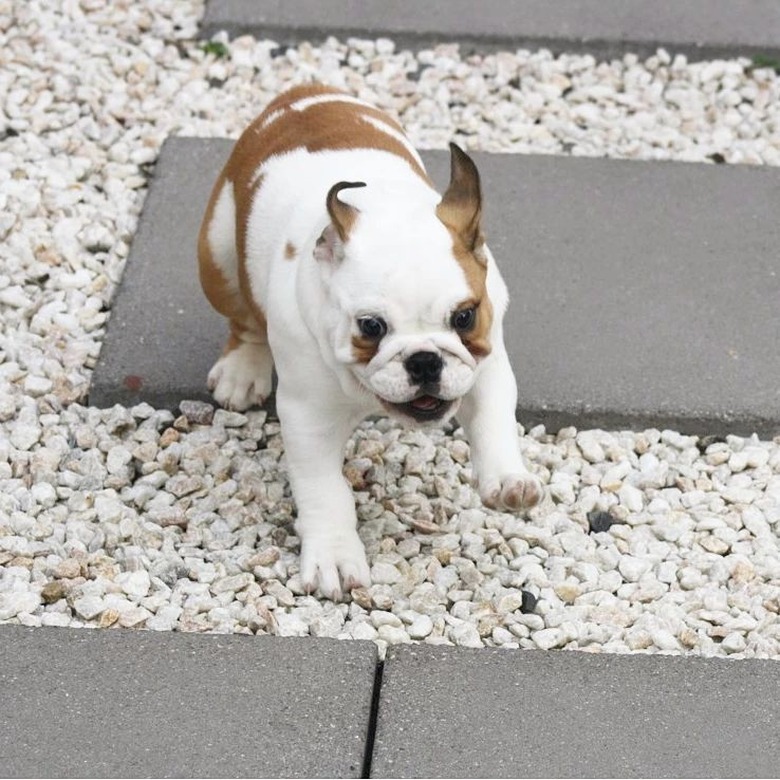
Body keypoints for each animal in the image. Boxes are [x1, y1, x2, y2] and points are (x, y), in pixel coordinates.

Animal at [198, 84, 544, 596]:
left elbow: (492, 420)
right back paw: (243, 370)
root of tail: (304, 92)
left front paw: (507, 480)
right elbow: (324, 490)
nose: (424, 360)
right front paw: (335, 556)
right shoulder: (309, 416)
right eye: (371, 327)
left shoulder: (485, 364)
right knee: (242, 317)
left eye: (464, 317)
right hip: (219, 248)